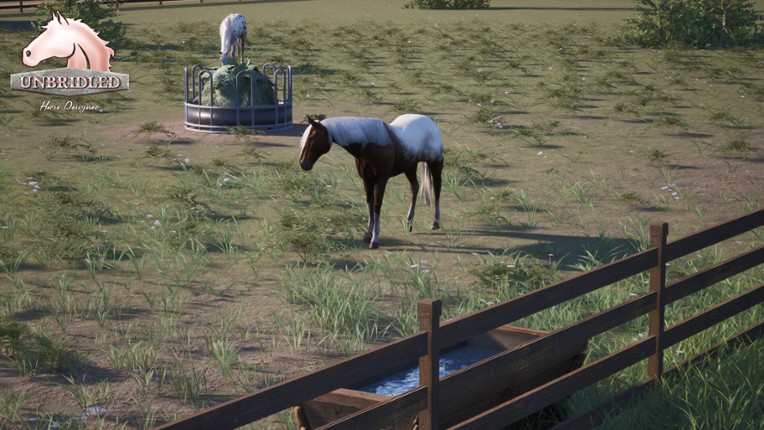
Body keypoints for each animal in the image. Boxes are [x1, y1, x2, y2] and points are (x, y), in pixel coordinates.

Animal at [299, 114, 444, 249]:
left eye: (312, 137)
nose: (303, 164)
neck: (369, 145)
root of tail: (430, 123)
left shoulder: (381, 180)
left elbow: (376, 206)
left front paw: (375, 240)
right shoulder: (367, 180)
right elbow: (370, 203)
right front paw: (368, 235)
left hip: (435, 164)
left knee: (437, 189)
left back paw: (435, 223)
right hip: (409, 167)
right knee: (415, 187)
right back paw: (409, 224)